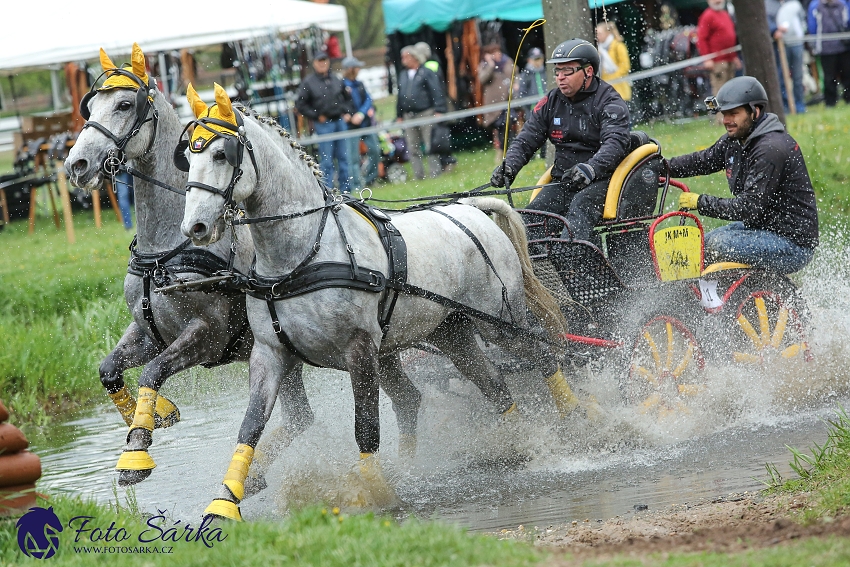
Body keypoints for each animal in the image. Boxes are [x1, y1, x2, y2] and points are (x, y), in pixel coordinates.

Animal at [64, 44, 312, 492]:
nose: (77, 164)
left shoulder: (206, 335)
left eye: (124, 105)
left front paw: (136, 449)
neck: (165, 252)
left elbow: (152, 371)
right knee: (301, 419)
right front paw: (155, 415)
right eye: (90, 106)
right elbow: (109, 369)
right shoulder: (150, 331)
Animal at [178, 84, 576, 524]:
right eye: (188, 158)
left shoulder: (359, 350)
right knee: (492, 385)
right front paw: (222, 505)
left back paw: (580, 419)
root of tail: (472, 211)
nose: (195, 227)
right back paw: (514, 442)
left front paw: (372, 493)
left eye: (221, 154)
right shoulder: (270, 352)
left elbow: (366, 426)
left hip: (498, 323)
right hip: (451, 332)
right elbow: (250, 427)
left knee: (542, 353)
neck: (303, 253)